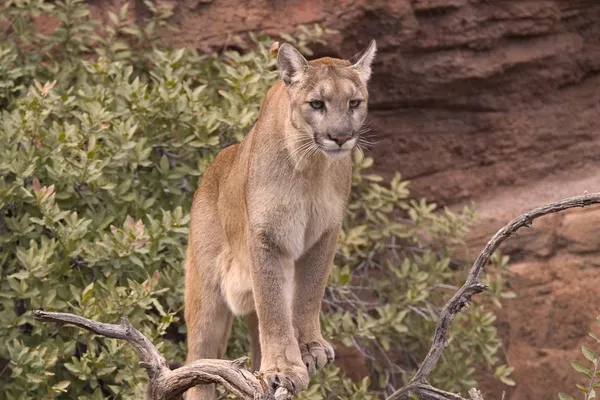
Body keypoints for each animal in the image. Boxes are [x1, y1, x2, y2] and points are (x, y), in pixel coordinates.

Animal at [185, 39, 378, 398]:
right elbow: (274, 307)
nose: (341, 136)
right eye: (316, 104)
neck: (311, 167)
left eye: (354, 103)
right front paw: (283, 368)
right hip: (205, 294)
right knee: (200, 362)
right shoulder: (267, 236)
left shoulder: (325, 233)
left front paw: (309, 347)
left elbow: (309, 292)